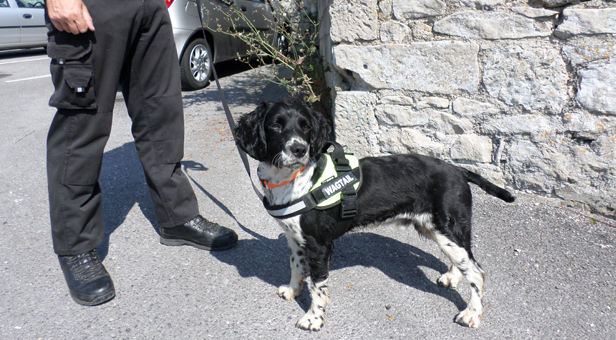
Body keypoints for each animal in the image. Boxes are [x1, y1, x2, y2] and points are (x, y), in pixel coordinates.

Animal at [235, 99, 516, 330]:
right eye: (275, 125)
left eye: (305, 127)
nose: (299, 150)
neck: (295, 181)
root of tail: (458, 170)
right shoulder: (294, 238)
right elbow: (296, 267)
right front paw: (293, 291)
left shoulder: (318, 244)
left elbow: (317, 285)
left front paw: (313, 319)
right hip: (438, 228)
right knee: (465, 260)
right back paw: (452, 277)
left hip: (447, 226)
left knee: (477, 272)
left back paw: (471, 314)